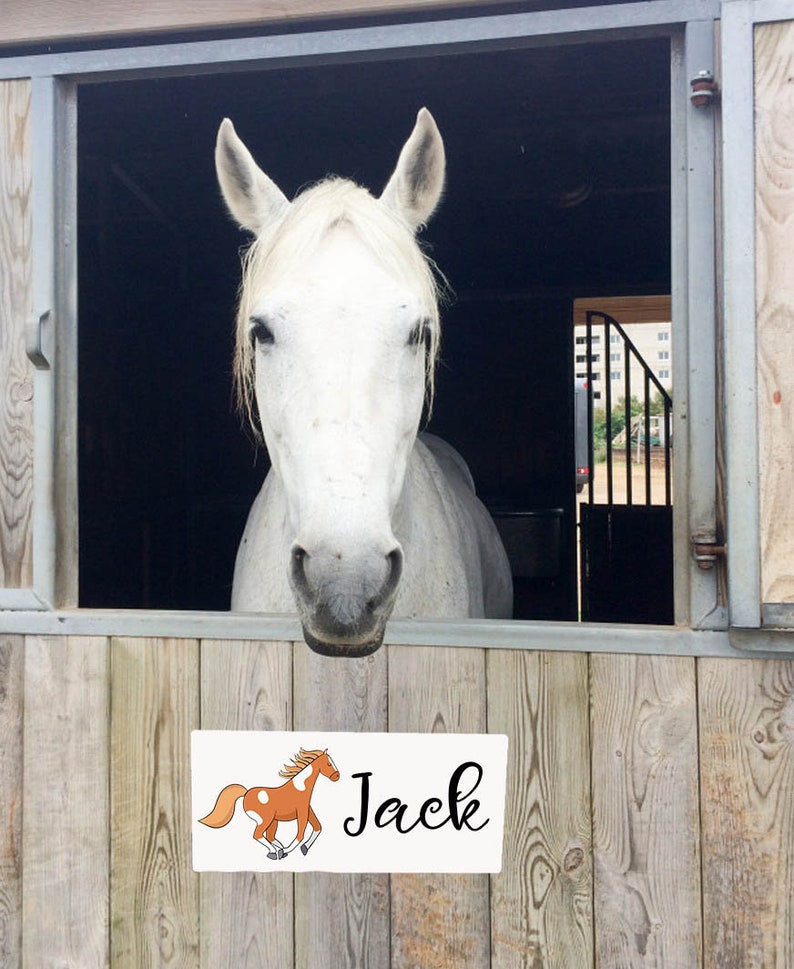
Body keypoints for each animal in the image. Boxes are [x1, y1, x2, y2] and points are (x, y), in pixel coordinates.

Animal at [198, 748, 340, 859]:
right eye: (329, 764)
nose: (337, 776)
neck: (301, 788)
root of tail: (245, 793)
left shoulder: (307, 810)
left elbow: (318, 827)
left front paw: (304, 848)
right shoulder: (301, 812)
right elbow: (300, 834)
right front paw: (289, 849)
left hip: (273, 821)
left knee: (269, 836)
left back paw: (279, 850)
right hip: (265, 819)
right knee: (258, 835)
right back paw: (275, 852)